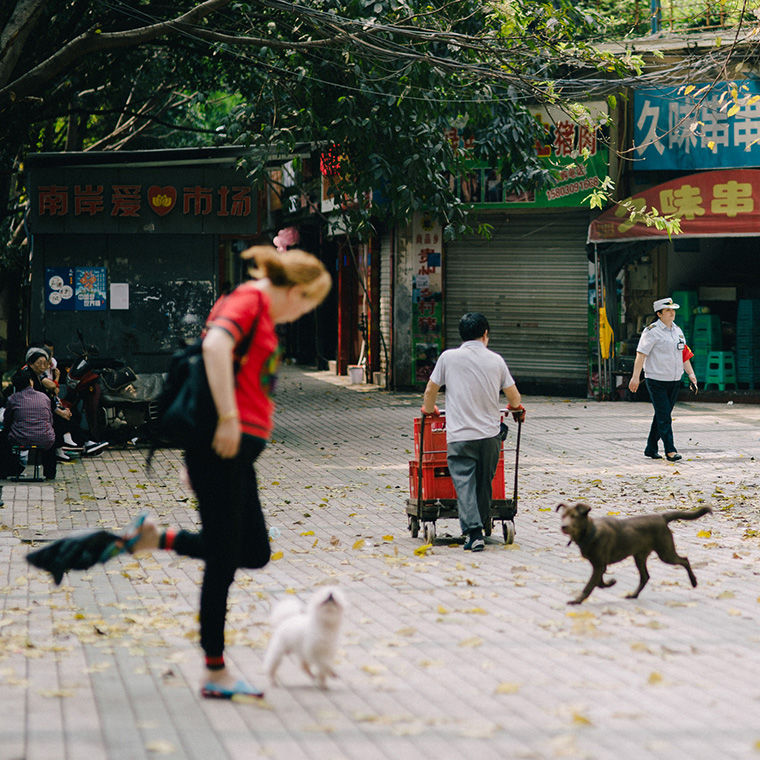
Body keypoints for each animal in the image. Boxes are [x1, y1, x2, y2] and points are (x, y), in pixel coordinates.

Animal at [552, 504, 712, 604]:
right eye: (563, 516)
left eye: (574, 516)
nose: (563, 526)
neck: (591, 531)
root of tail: (661, 517)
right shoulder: (600, 565)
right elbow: (599, 582)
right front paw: (610, 583)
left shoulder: (599, 566)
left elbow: (589, 586)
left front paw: (576, 600)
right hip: (640, 556)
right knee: (645, 577)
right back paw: (633, 595)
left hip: (665, 553)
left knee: (684, 560)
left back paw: (694, 582)